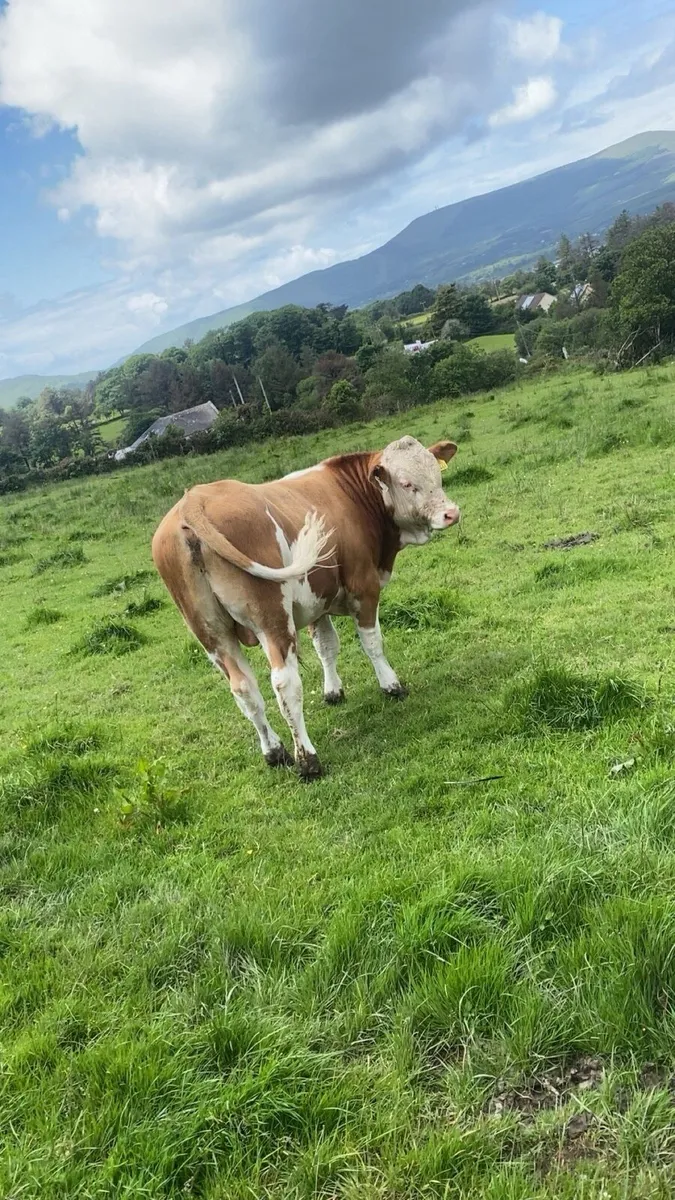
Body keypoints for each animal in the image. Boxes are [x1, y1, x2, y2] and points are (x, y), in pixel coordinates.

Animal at [152, 435, 460, 779]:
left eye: (436, 472)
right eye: (406, 483)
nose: (451, 513)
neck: (350, 495)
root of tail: (194, 499)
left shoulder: (317, 604)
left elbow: (326, 646)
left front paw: (333, 691)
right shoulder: (363, 588)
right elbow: (372, 643)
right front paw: (391, 685)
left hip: (212, 635)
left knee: (244, 689)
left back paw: (275, 751)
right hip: (273, 620)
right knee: (284, 684)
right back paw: (308, 760)